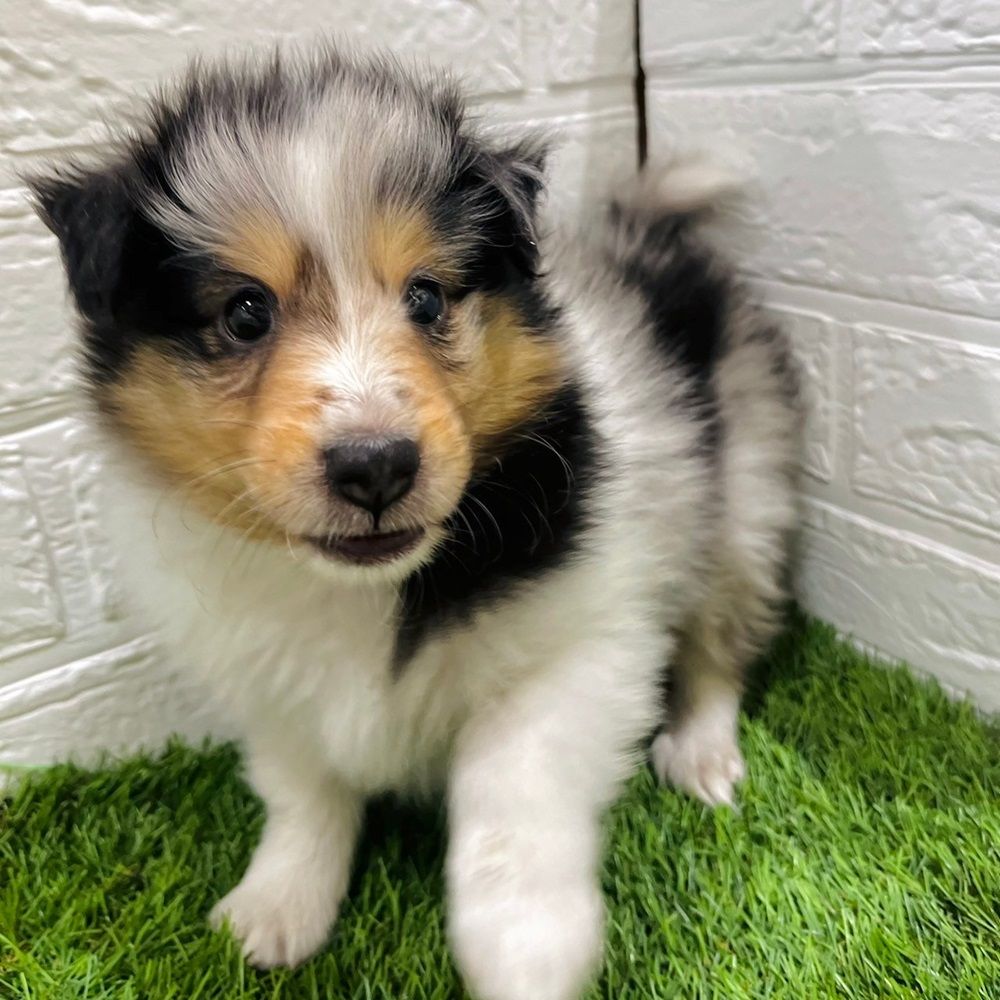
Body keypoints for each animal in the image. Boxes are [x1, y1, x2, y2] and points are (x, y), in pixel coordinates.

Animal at [28, 45, 801, 1000]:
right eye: (245, 312)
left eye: (427, 298)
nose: (376, 467)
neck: (361, 586)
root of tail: (654, 239)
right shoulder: (267, 680)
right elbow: (303, 792)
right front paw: (277, 906)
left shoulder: (581, 642)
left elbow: (513, 787)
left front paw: (525, 947)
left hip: (747, 488)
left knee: (722, 636)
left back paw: (700, 751)